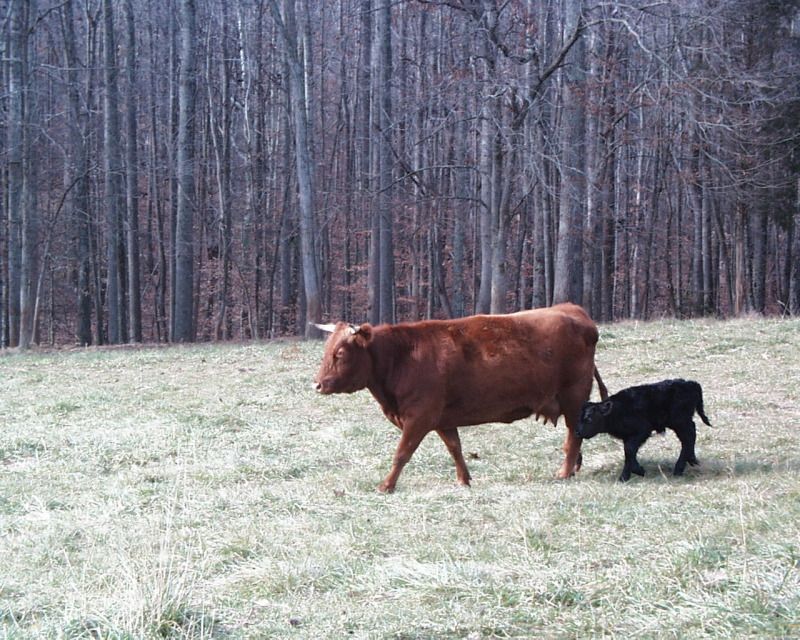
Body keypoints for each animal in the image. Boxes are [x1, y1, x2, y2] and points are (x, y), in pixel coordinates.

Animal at [313, 303, 608, 492]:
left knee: (573, 437)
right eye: (327, 349)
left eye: (340, 353)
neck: (402, 356)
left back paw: (564, 472)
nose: (318, 384)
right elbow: (455, 448)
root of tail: (573, 310)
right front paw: (463, 480)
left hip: (573, 397)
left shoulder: (419, 417)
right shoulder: (443, 419)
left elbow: (402, 453)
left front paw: (386, 486)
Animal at [575, 378, 712, 482]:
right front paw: (632, 473)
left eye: (589, 418)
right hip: (681, 422)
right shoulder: (628, 436)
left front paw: (631, 474)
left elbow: (629, 450)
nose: (577, 432)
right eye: (579, 417)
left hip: (680, 422)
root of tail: (690, 383)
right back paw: (691, 460)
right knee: (690, 435)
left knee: (688, 437)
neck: (618, 410)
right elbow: (629, 452)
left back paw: (679, 468)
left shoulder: (642, 430)